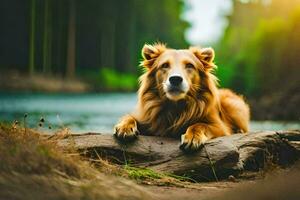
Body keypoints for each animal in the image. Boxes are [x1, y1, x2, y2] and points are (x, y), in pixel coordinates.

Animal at [113, 43, 250, 151]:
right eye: (164, 65)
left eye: (189, 65)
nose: (175, 79)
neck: (175, 106)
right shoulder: (146, 117)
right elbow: (129, 117)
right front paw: (125, 127)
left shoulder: (220, 127)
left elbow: (199, 125)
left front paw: (193, 137)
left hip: (233, 105)